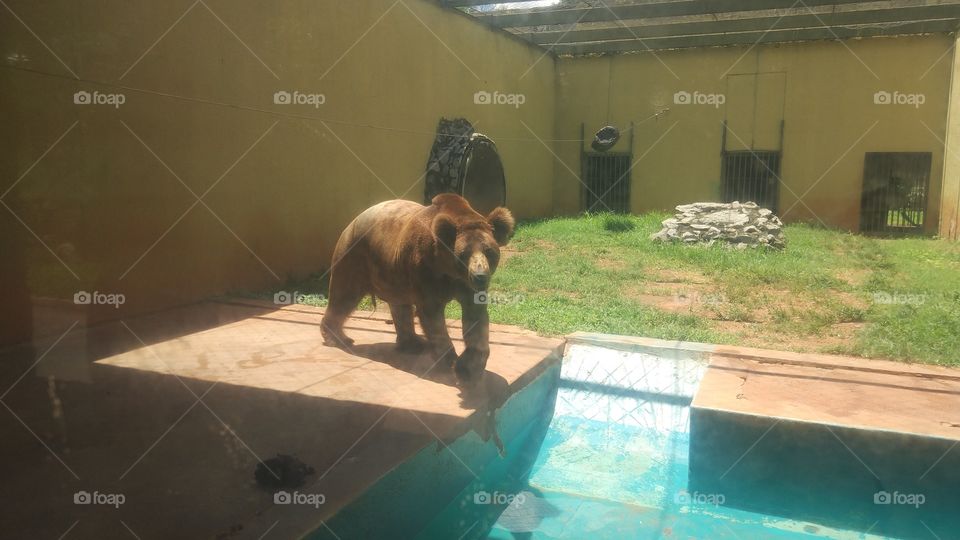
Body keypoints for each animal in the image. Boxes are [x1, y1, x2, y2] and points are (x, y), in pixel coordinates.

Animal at [320, 194, 515, 385]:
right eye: (464, 254)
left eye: (489, 251)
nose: (480, 276)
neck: (448, 269)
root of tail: (350, 223)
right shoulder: (425, 270)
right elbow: (432, 316)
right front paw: (450, 360)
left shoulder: (466, 286)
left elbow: (475, 316)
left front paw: (469, 367)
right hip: (356, 257)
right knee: (344, 295)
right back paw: (338, 337)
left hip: (393, 272)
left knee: (400, 307)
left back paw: (412, 342)